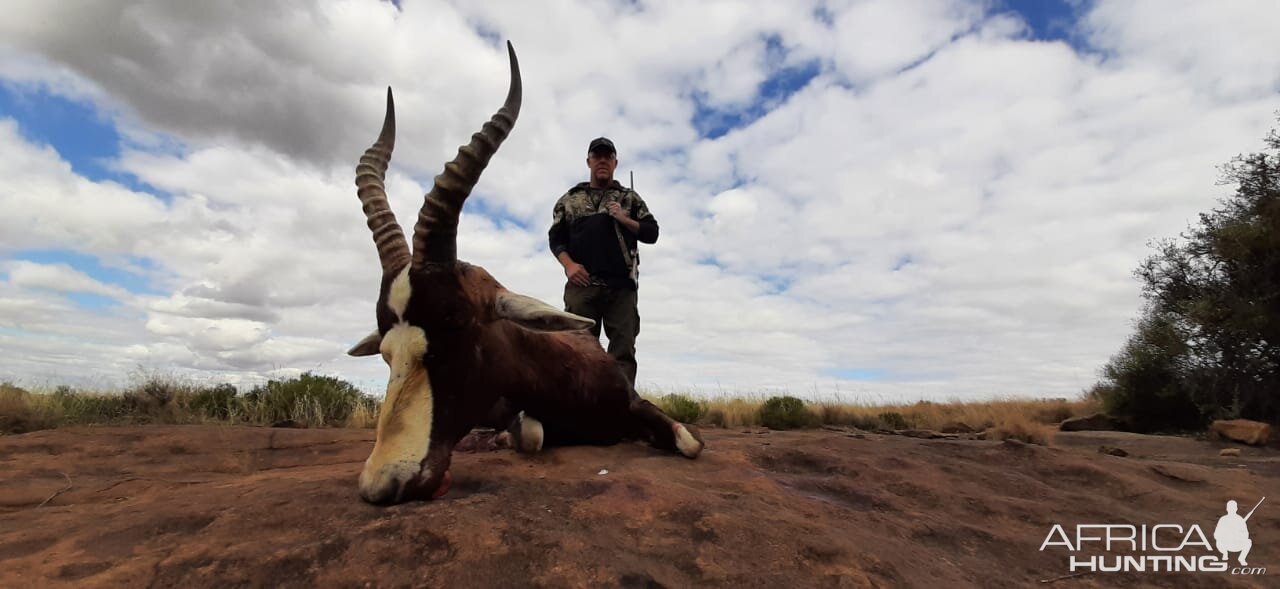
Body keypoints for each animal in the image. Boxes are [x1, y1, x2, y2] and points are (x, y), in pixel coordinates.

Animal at [345, 41, 706, 504]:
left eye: (456, 322)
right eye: (385, 350)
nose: (383, 482)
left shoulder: (636, 404)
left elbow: (690, 443)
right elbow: (532, 433)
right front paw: (504, 436)